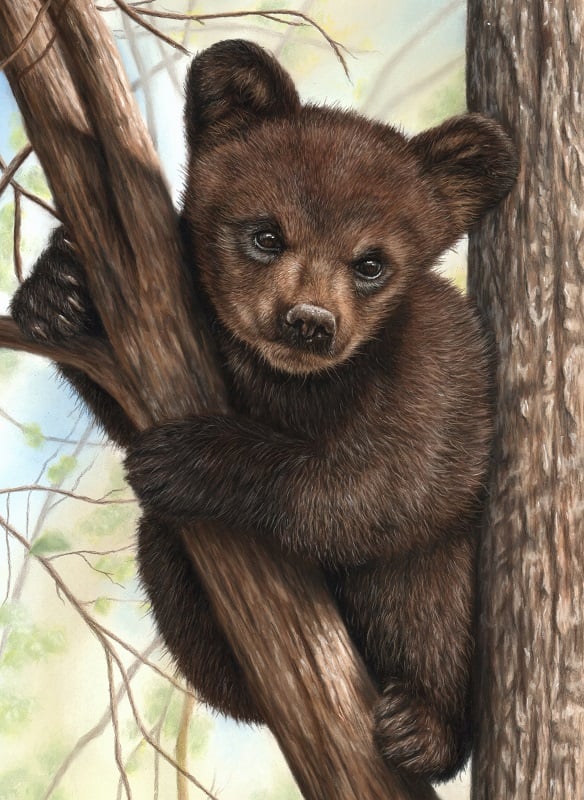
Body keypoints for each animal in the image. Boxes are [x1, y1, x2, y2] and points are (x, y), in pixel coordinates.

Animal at [10, 39, 518, 782]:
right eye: (267, 235)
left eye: (371, 263)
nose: (309, 322)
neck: (292, 385)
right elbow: (127, 387)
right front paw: (57, 289)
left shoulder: (439, 359)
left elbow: (392, 481)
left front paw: (192, 460)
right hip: (171, 574)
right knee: (166, 558)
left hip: (440, 584)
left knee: (427, 593)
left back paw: (420, 726)